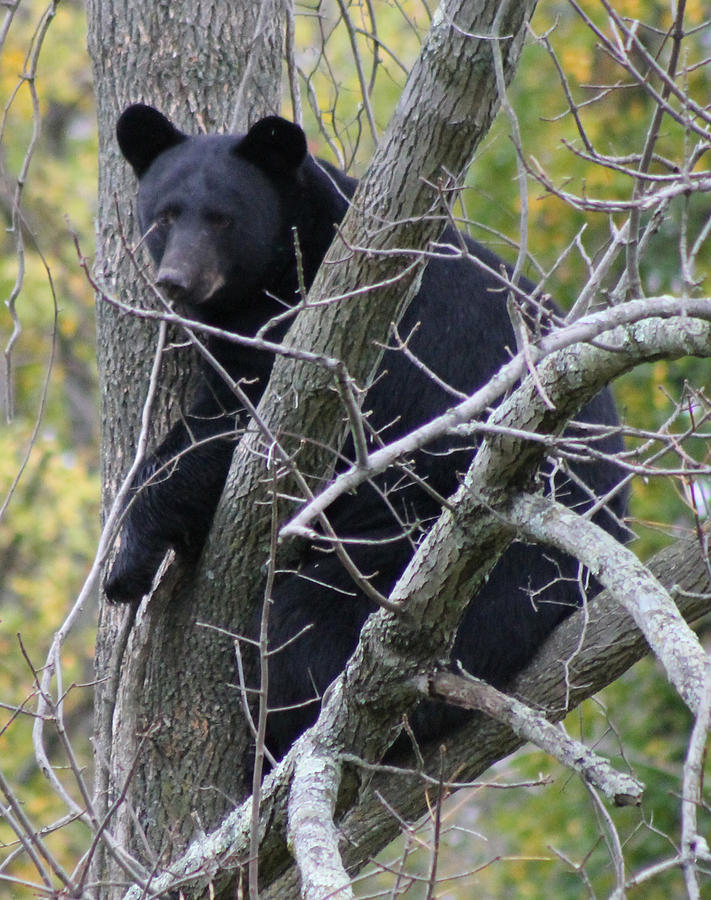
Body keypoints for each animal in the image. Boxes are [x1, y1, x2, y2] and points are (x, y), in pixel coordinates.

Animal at [108, 105, 624, 760]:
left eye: (223, 217)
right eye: (165, 214)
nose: (177, 280)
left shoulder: (318, 338)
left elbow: (233, 431)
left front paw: (128, 561)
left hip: (452, 565)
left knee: (301, 636)